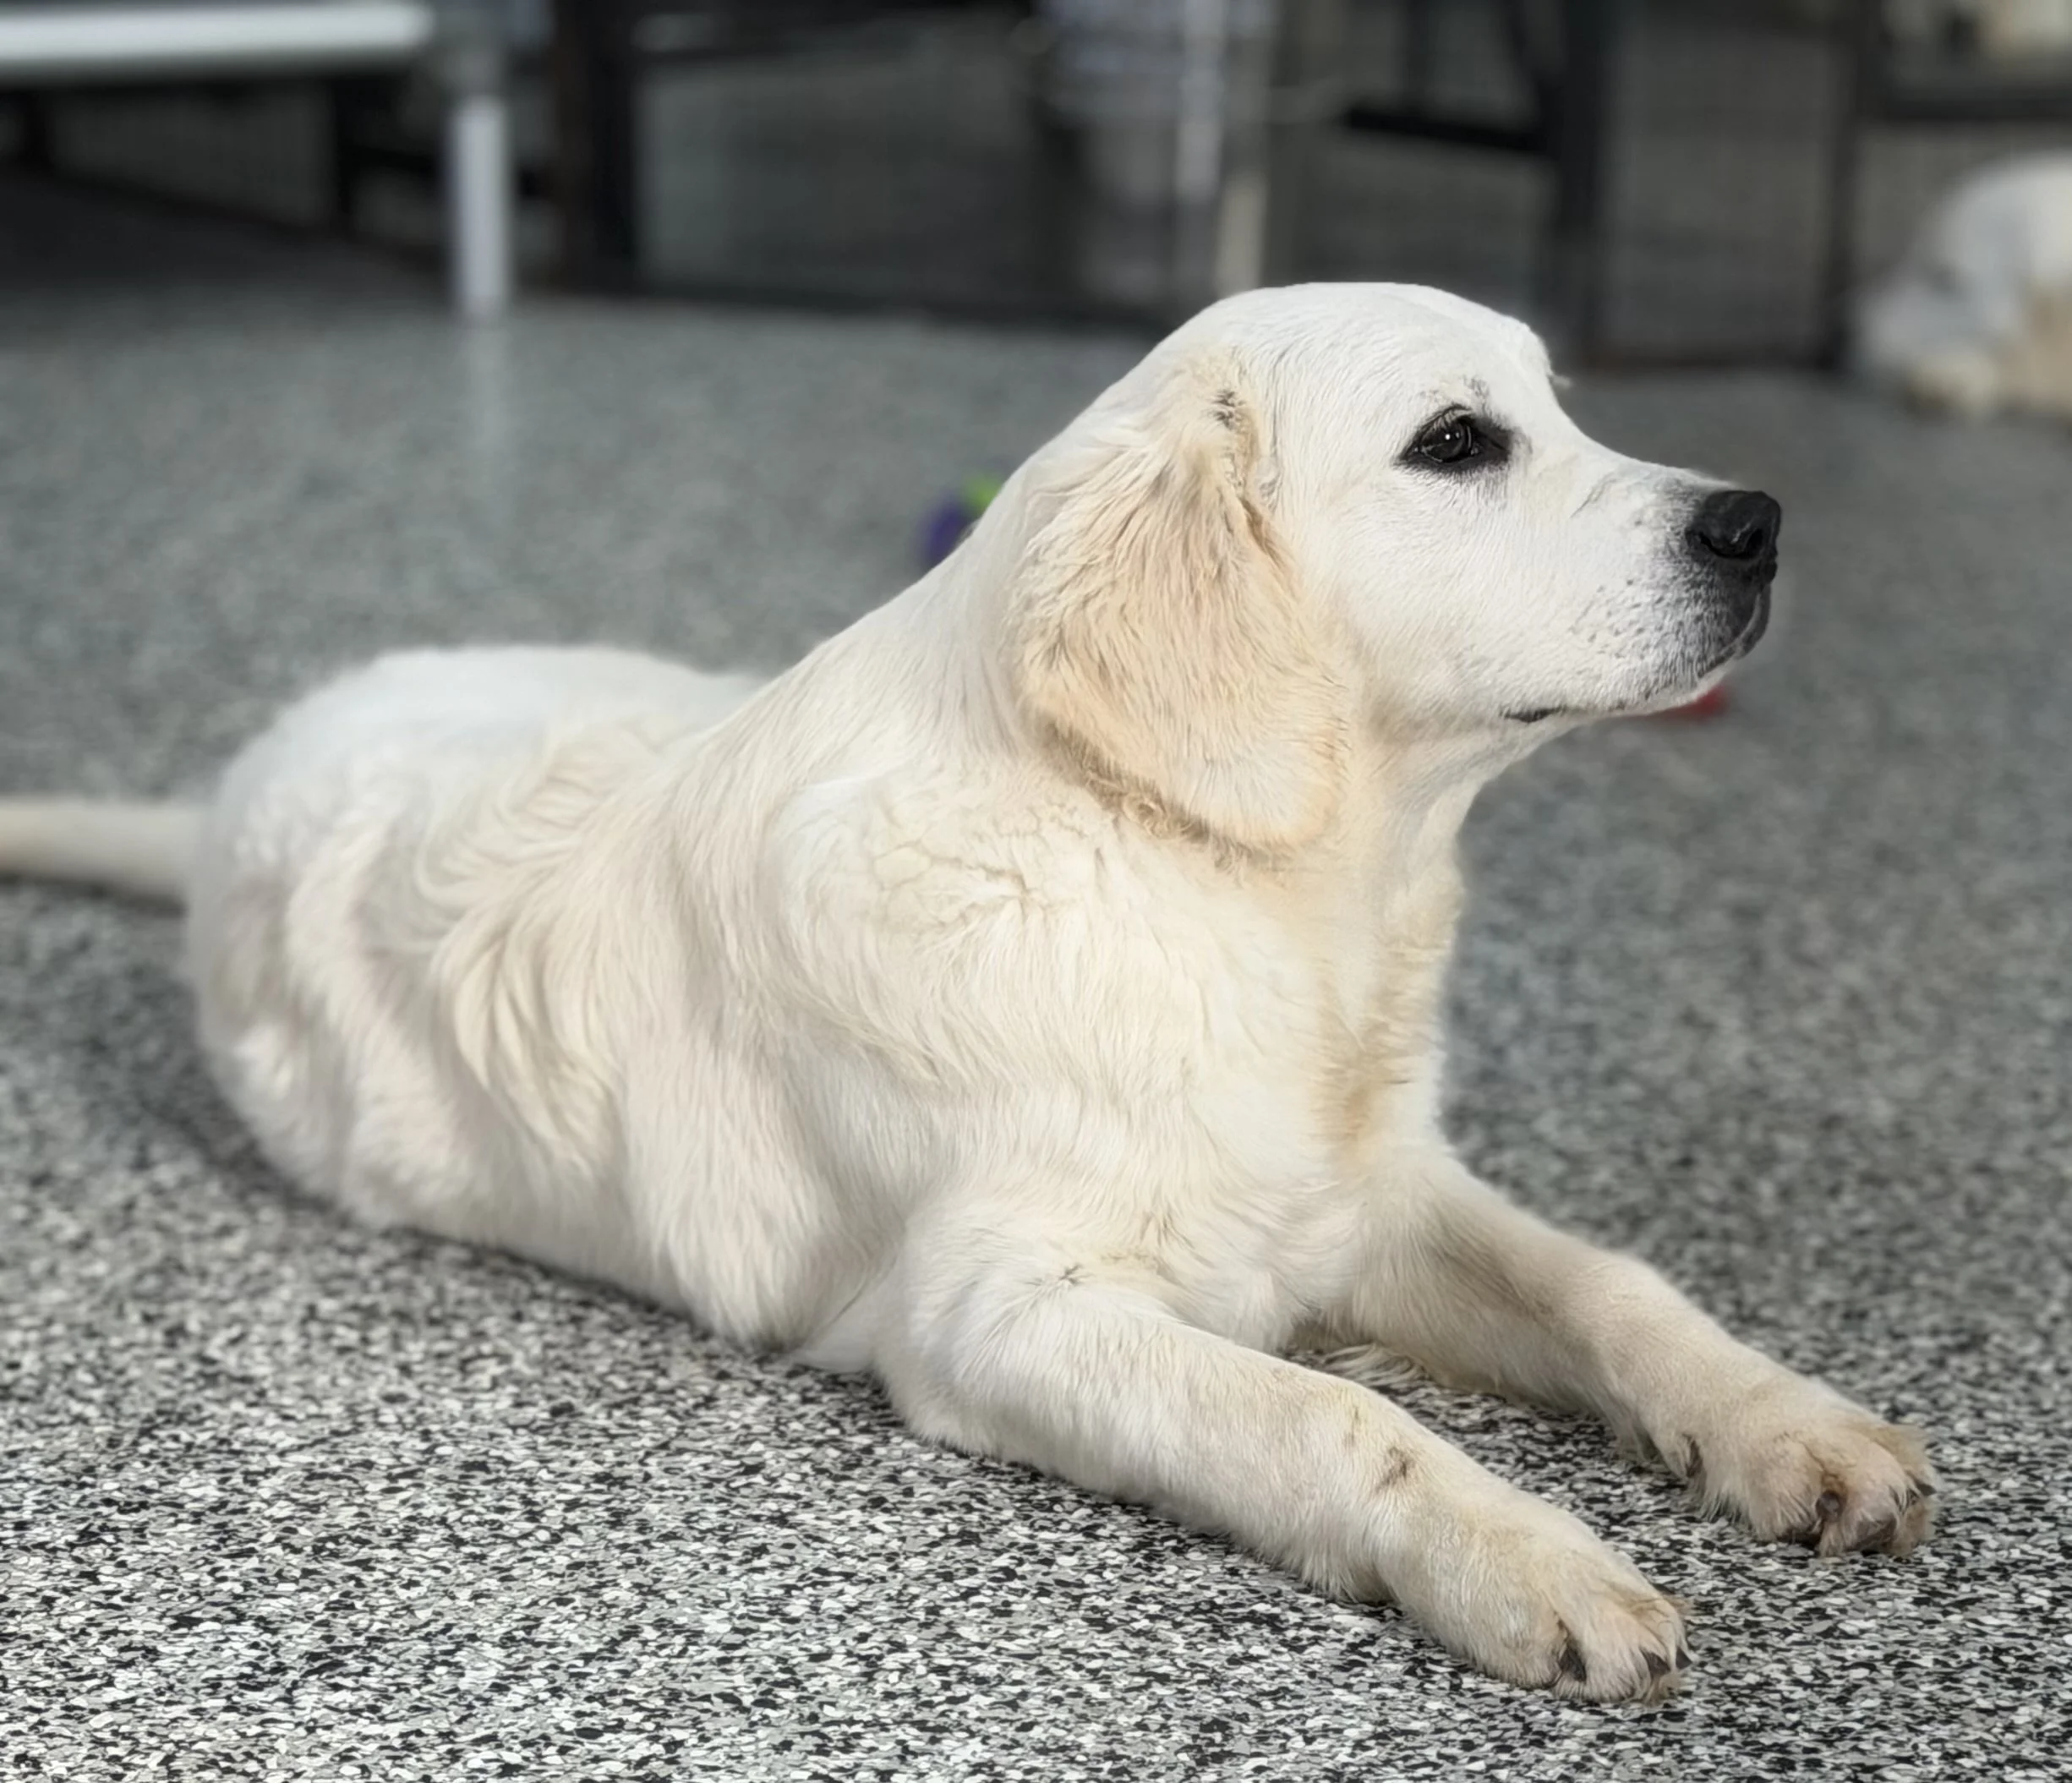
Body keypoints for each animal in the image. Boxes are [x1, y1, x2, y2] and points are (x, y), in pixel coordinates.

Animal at [0, 284, 1932, 1701]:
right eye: (1456, 442)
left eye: (1561, 405)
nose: (1758, 522)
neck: (1201, 875)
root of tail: (238, 785)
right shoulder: (993, 1313)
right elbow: (1332, 1413)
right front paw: (1526, 1554)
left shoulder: (1371, 1192)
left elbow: (1608, 1285)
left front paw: (1785, 1427)